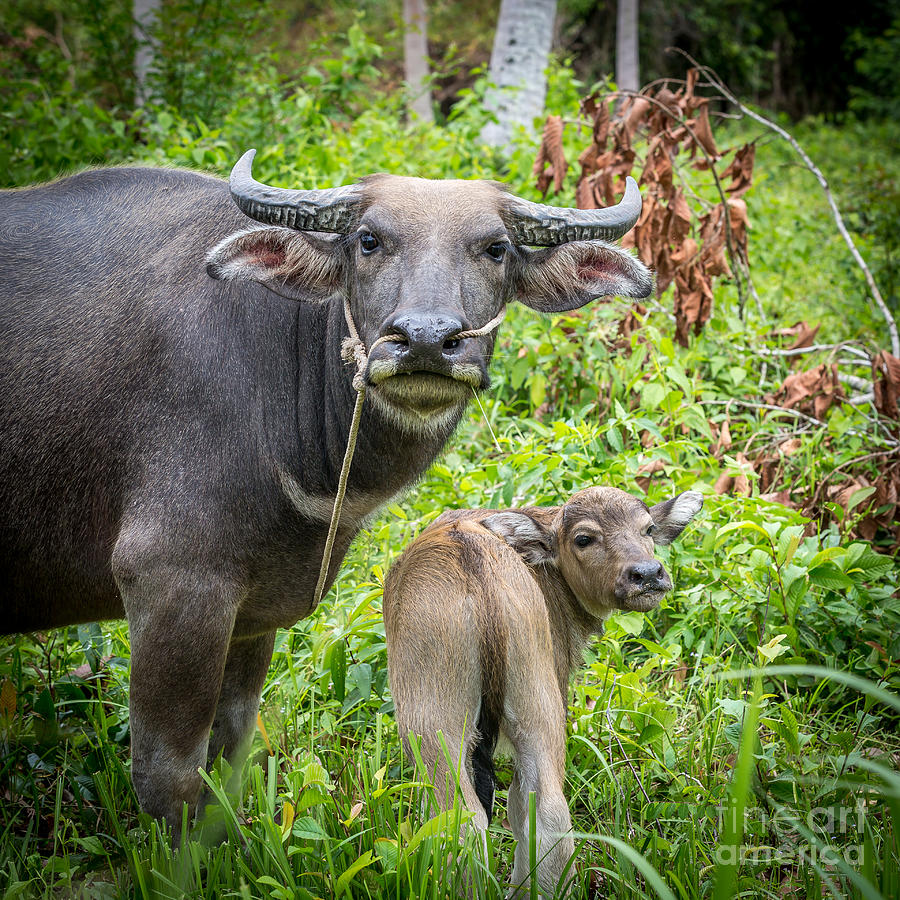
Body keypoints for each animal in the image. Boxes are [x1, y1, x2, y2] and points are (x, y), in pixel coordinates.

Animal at [384, 488, 700, 896]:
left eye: (647, 528)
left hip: (432, 727)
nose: (646, 574)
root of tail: (473, 564)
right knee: (547, 815)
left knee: (462, 825)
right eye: (584, 539)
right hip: (539, 707)